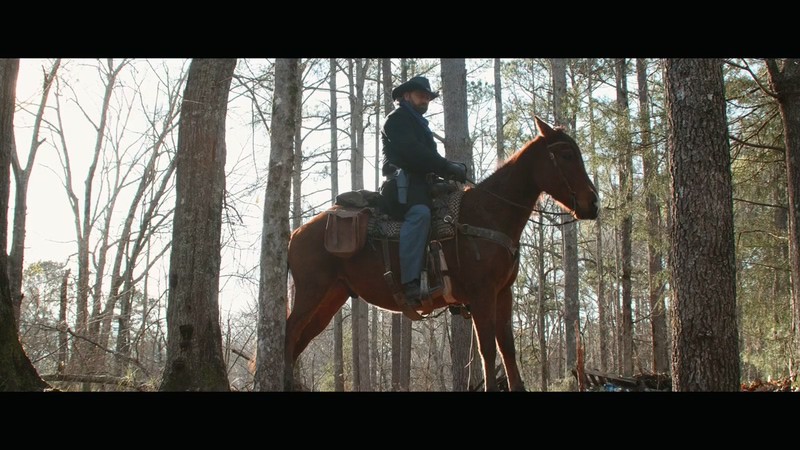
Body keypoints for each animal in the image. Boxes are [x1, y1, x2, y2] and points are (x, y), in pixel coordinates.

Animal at [284, 116, 596, 390]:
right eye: (566, 154)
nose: (592, 203)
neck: (488, 214)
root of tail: (296, 234)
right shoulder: (482, 295)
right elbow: (487, 349)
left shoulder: (503, 292)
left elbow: (506, 347)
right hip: (311, 292)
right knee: (289, 333)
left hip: (330, 298)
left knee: (299, 341)